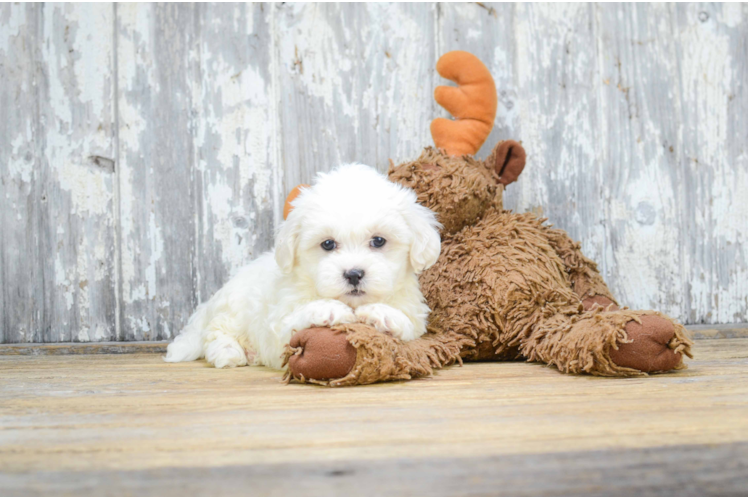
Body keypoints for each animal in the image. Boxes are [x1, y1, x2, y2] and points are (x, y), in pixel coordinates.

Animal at [165, 163, 438, 368]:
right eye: (327, 244)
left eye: (379, 241)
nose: (353, 274)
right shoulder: (277, 327)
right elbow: (292, 321)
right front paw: (328, 308)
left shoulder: (415, 315)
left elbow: (409, 326)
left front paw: (383, 313)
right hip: (233, 308)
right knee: (216, 331)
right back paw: (228, 351)